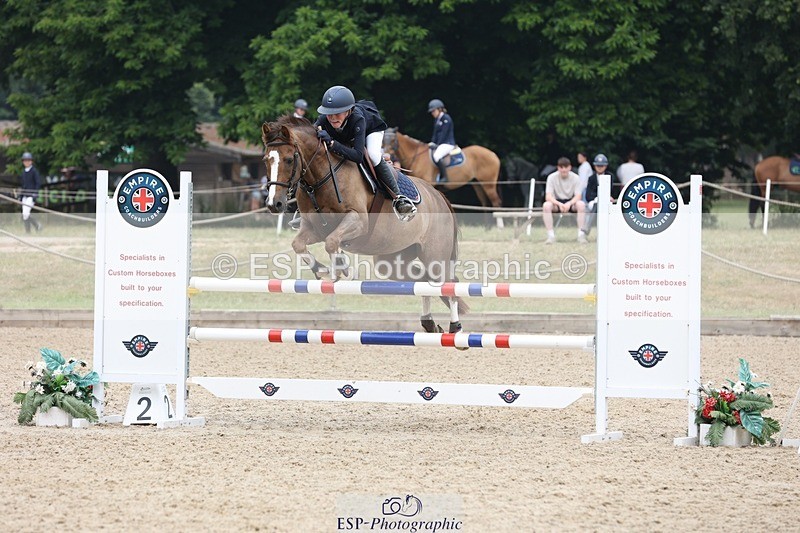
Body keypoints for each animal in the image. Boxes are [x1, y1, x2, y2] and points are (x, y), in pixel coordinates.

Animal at [261, 115, 468, 334]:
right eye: (266, 160)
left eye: (289, 159)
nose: (274, 204)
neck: (321, 176)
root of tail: (439, 196)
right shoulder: (313, 228)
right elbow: (299, 244)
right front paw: (324, 271)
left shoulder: (358, 221)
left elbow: (332, 242)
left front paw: (342, 269)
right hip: (392, 261)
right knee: (423, 281)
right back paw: (429, 324)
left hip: (435, 254)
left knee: (447, 283)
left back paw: (455, 328)